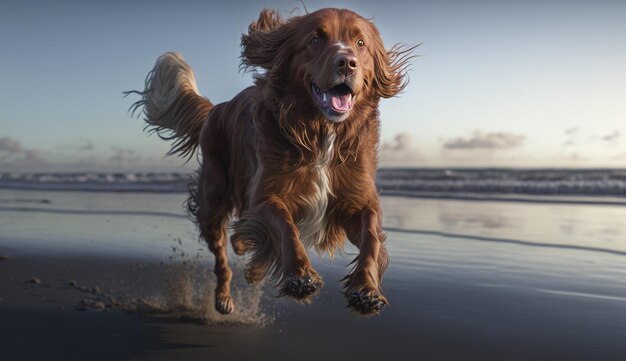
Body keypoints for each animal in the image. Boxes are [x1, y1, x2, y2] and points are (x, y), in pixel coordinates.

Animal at [127, 7, 414, 314]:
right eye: (315, 40)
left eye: (360, 43)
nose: (347, 63)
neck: (321, 135)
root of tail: (216, 109)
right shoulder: (265, 194)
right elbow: (285, 226)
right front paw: (299, 276)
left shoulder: (357, 200)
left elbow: (371, 237)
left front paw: (366, 289)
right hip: (213, 200)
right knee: (221, 256)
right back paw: (224, 296)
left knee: (239, 234)